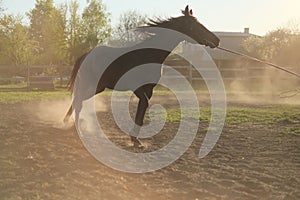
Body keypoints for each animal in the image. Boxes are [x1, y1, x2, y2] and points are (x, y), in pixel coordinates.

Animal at [64, 5, 219, 147]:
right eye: (196, 25)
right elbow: (143, 105)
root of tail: (85, 55)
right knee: (78, 101)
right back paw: (76, 128)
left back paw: (68, 122)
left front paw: (135, 139)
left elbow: (142, 110)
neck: (148, 54)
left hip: (98, 87)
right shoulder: (137, 88)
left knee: (78, 99)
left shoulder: (149, 89)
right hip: (91, 85)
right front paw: (134, 139)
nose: (216, 40)